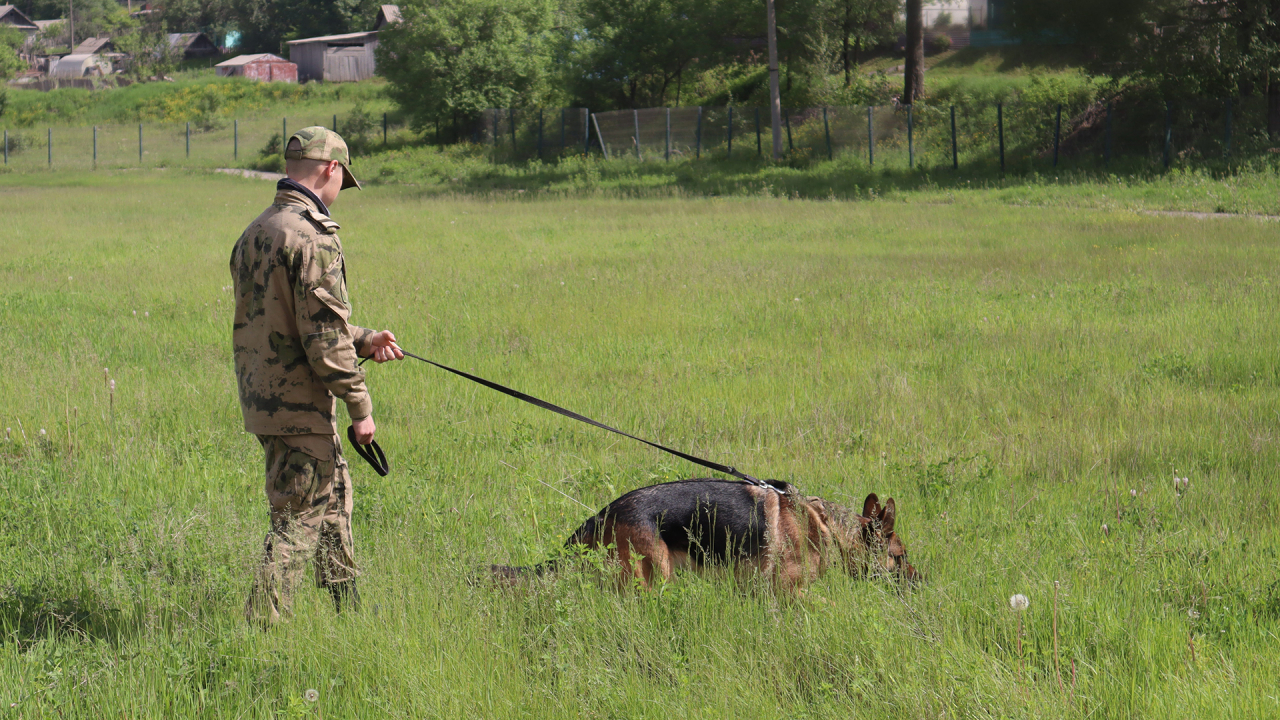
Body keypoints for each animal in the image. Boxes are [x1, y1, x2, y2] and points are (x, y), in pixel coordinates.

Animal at [491, 476, 921, 589]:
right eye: (900, 557)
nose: (923, 580)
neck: (826, 527)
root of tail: (605, 512)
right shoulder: (793, 594)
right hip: (652, 581)